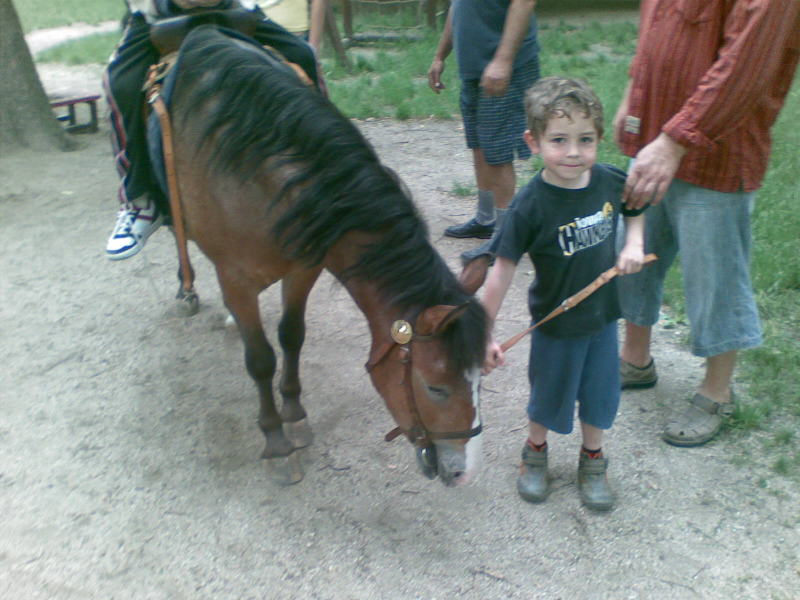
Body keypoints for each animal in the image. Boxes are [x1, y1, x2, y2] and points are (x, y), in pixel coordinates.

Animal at [150, 23, 488, 486]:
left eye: (480, 379)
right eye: (436, 387)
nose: (463, 471)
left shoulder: (304, 268)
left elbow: (292, 335)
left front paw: (294, 414)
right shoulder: (237, 279)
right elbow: (261, 359)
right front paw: (276, 441)